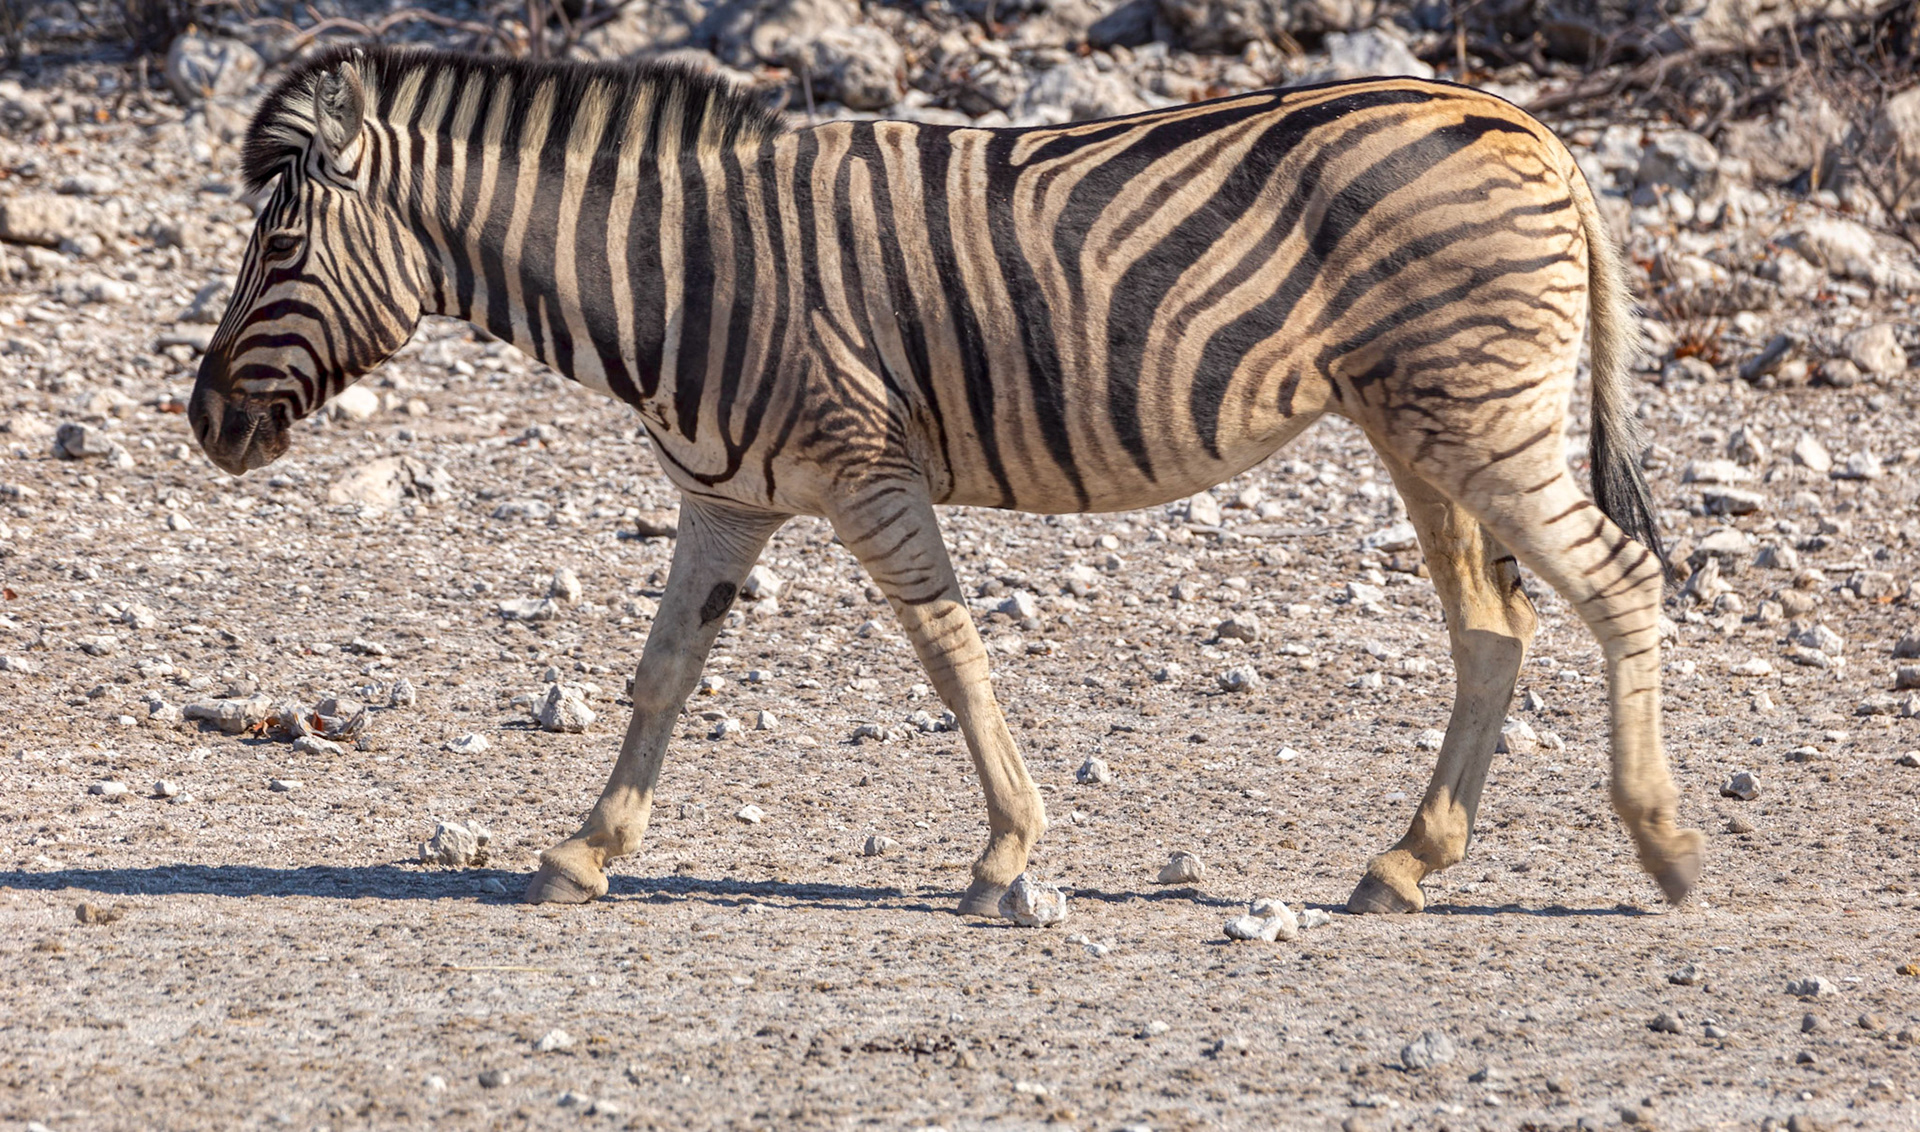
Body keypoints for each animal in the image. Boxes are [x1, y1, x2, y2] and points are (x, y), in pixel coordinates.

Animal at [190, 46, 1701, 917]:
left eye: (278, 252)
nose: (202, 421)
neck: (677, 269)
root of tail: (1519, 117)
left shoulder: (863, 463)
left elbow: (951, 652)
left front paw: (1008, 856)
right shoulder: (725, 495)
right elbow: (663, 673)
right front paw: (585, 850)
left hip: (1479, 416)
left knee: (1623, 582)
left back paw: (1664, 849)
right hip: (1421, 427)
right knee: (1495, 630)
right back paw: (1406, 863)